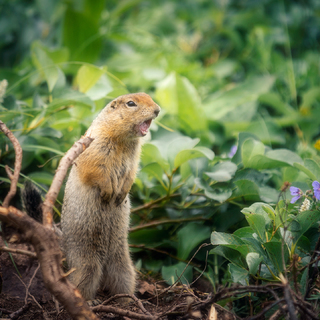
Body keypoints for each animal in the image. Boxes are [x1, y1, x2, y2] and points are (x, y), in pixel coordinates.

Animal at [60, 92, 160, 302]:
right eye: (131, 103)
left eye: (149, 96)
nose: (157, 110)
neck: (124, 140)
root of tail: (104, 260)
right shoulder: (96, 145)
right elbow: (97, 170)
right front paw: (108, 193)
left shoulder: (133, 158)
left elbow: (131, 174)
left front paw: (121, 194)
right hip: (86, 262)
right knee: (82, 281)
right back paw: (90, 301)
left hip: (123, 263)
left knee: (121, 278)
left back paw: (127, 300)